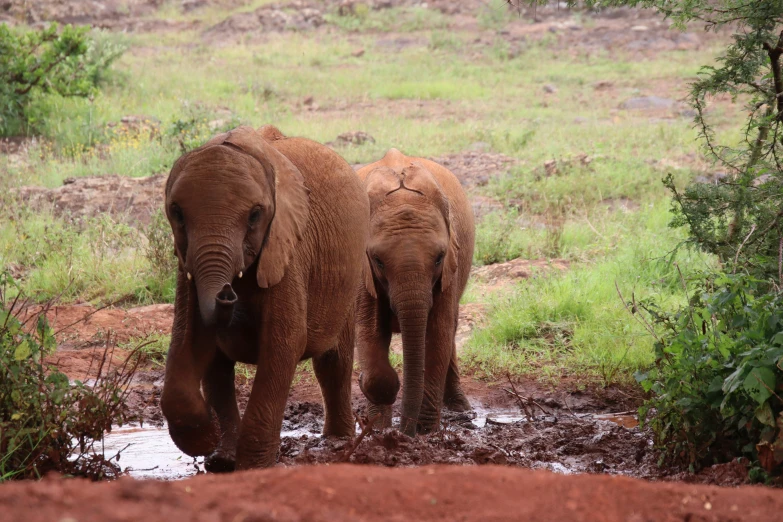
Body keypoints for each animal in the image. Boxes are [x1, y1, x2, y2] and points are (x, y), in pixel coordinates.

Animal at [159, 124, 370, 470]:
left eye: (255, 215)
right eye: (176, 213)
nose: (227, 294)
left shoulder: (288, 248)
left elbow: (284, 342)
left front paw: (253, 467)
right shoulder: (184, 264)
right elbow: (187, 339)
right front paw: (209, 442)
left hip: (350, 277)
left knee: (333, 362)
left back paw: (337, 442)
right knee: (218, 368)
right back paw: (222, 459)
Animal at [356, 147, 478, 434]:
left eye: (439, 258)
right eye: (378, 260)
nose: (404, 432)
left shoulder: (451, 267)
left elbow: (437, 334)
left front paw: (424, 432)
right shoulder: (362, 272)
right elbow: (369, 331)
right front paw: (379, 429)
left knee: (450, 331)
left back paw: (461, 409)